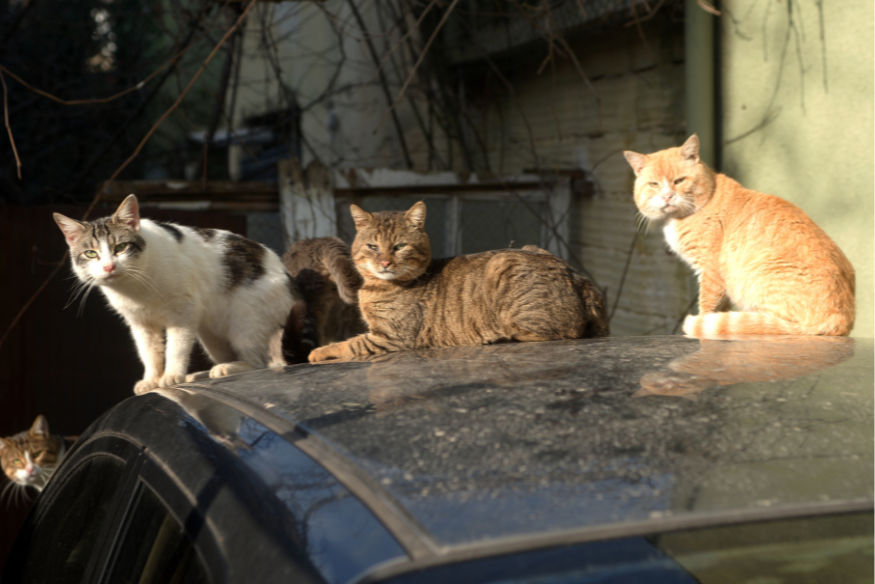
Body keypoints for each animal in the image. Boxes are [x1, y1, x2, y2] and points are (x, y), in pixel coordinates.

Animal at [54, 195, 301, 394]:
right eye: (91, 253)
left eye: (120, 247)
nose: (108, 267)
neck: (135, 287)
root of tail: (291, 285)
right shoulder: (140, 323)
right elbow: (149, 353)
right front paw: (151, 380)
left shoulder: (183, 312)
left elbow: (176, 347)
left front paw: (172, 376)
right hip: (211, 336)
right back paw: (200, 374)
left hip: (245, 322)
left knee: (259, 363)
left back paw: (227, 368)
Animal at [308, 201, 608, 362]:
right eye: (372, 246)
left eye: (399, 246)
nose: (385, 263)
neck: (376, 288)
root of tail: (581, 280)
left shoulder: (391, 337)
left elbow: (348, 344)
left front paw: (318, 352)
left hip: (505, 269)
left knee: (556, 333)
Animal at [624, 135, 855, 336]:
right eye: (654, 184)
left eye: (679, 181)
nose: (667, 196)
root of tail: (843, 317)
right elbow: (720, 308)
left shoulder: (710, 272)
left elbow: (707, 306)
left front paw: (703, 324)